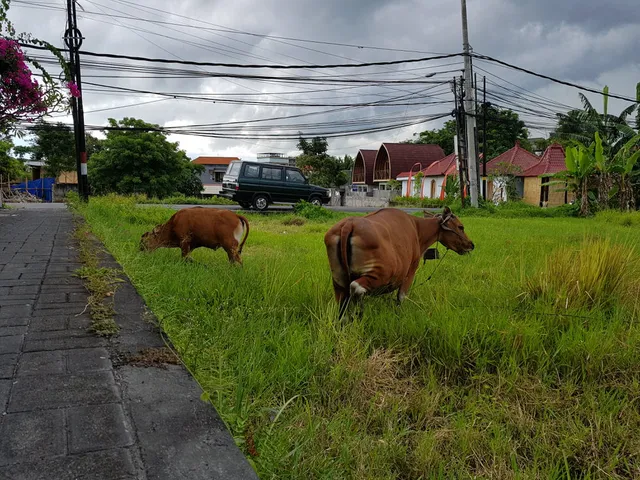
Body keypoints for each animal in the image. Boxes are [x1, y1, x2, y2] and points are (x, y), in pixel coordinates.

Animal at [324, 206, 474, 315]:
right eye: (461, 227)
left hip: (338, 280)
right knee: (356, 287)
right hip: (381, 274)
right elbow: (401, 297)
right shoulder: (410, 271)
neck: (417, 228)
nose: (471, 244)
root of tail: (349, 224)